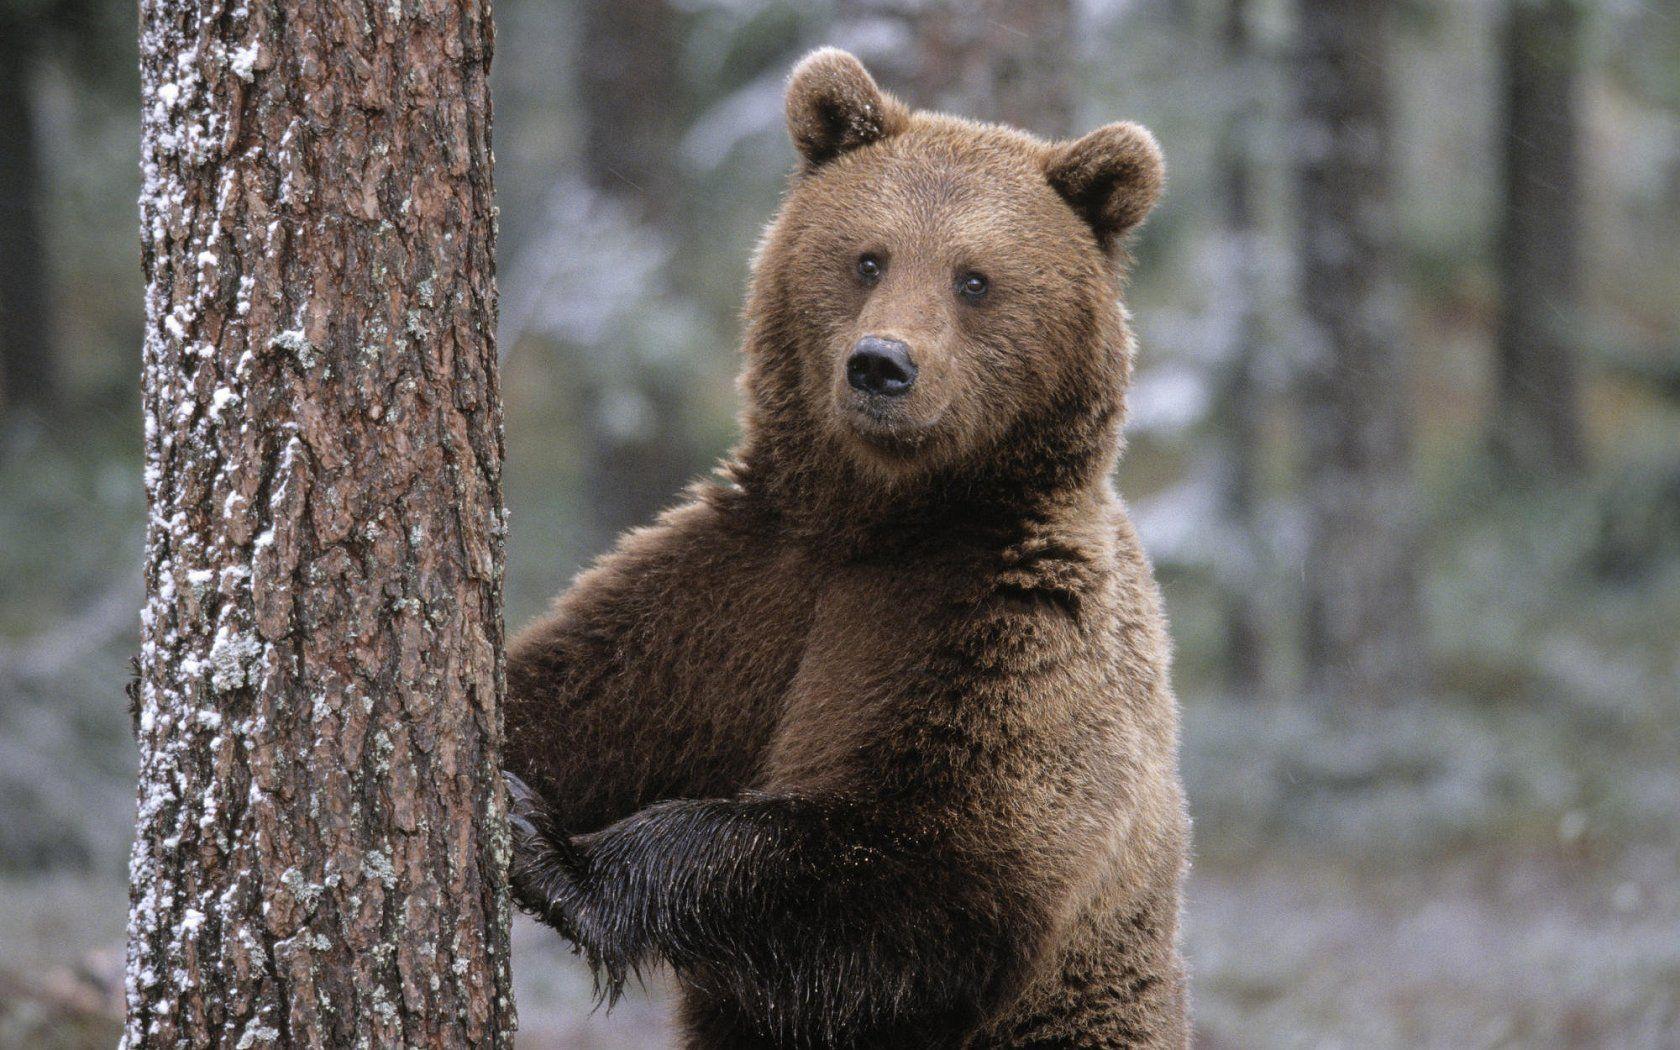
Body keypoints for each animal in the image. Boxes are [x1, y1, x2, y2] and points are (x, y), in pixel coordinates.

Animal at [502, 47, 1188, 1049]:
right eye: (869, 257)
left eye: (974, 278)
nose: (881, 365)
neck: (883, 518)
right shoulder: (738, 590)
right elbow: (574, 694)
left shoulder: (1004, 628)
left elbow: (925, 866)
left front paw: (557, 857)